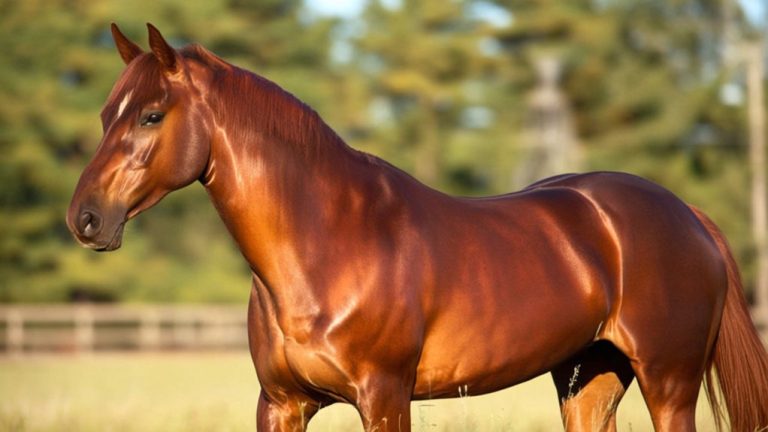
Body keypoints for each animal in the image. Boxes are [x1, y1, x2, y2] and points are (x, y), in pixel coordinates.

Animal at [67, 24, 768, 432]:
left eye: (153, 114)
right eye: (104, 113)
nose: (86, 218)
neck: (326, 244)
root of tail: (686, 214)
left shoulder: (384, 397)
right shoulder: (281, 403)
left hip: (669, 384)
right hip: (588, 379)